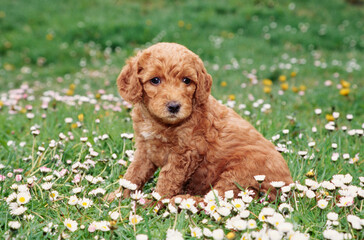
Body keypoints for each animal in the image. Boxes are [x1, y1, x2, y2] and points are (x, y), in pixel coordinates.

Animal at [111, 42, 292, 202]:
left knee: (215, 200)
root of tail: (289, 187)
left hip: (240, 172)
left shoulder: (185, 153)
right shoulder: (144, 149)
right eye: (155, 80)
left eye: (186, 80)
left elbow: (167, 180)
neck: (159, 122)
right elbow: (132, 175)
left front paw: (153, 202)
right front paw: (115, 197)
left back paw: (180, 201)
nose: (174, 106)